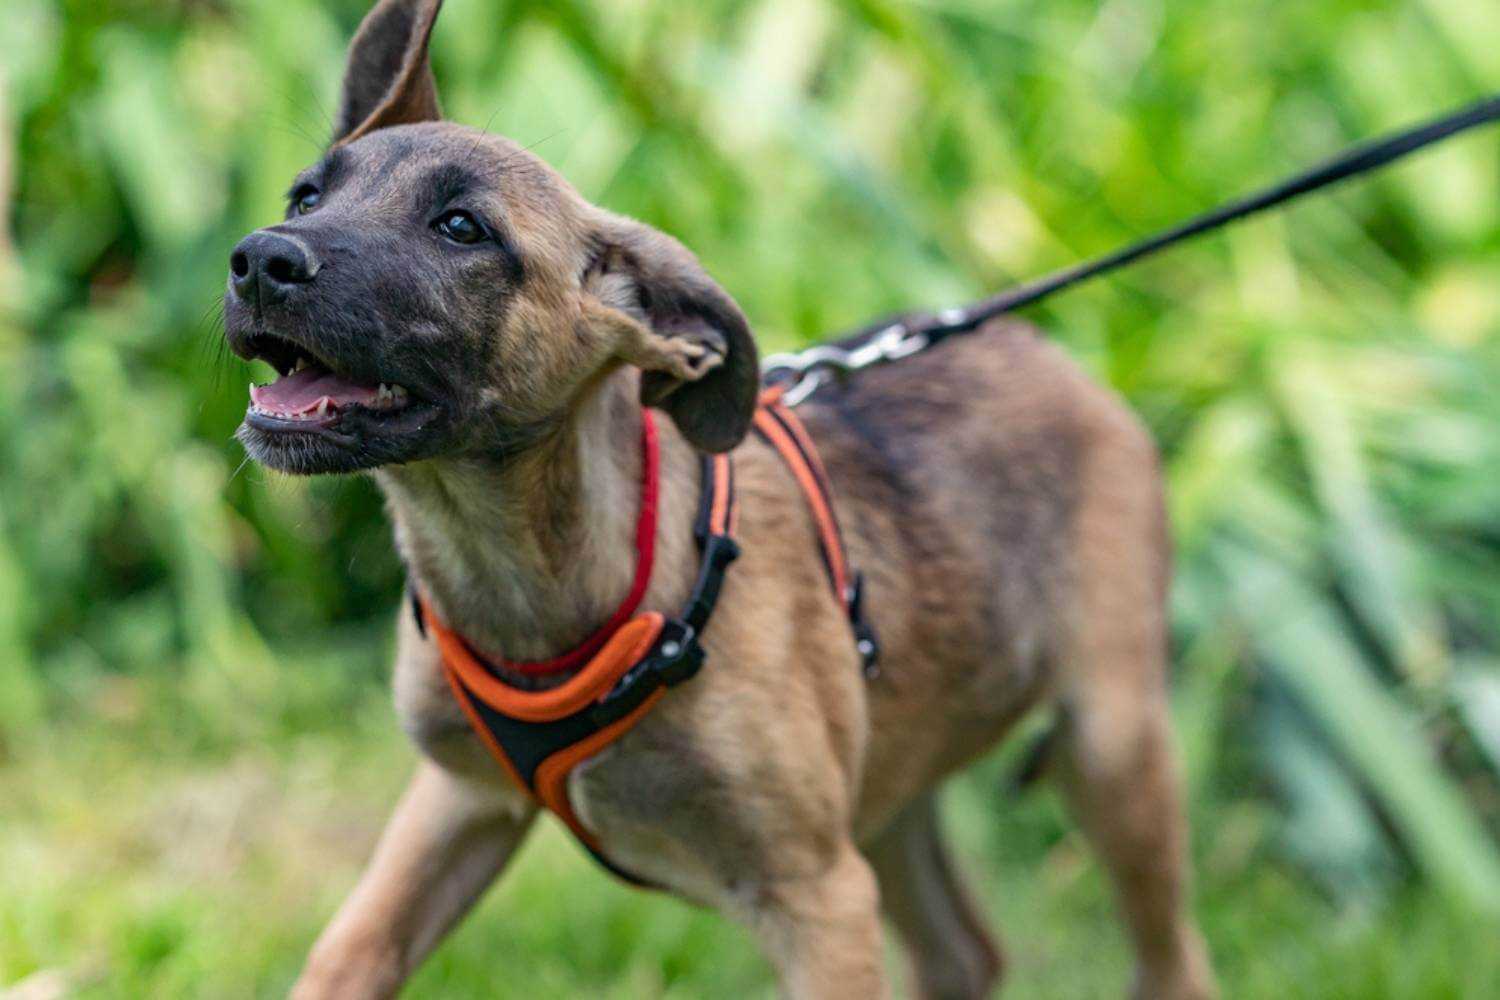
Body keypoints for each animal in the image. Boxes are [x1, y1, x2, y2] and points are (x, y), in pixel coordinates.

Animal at [228, 3, 1218, 995]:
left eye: (463, 227)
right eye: (306, 198)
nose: (258, 259)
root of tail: (1051, 353)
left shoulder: (818, 897)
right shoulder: (457, 802)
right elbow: (345, 958)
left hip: (1113, 748)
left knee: (1173, 956)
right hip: (890, 775)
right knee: (964, 951)